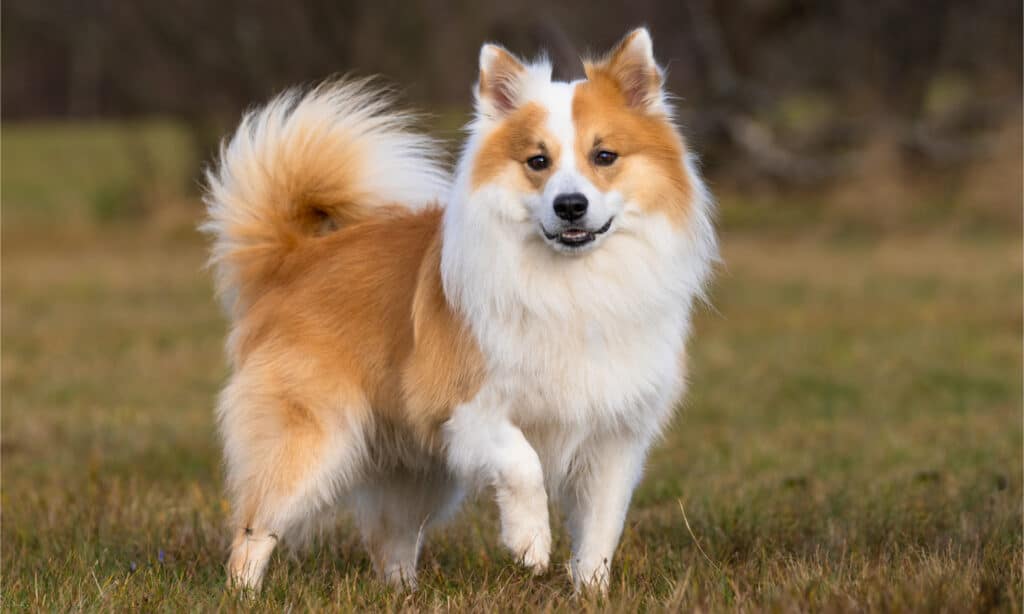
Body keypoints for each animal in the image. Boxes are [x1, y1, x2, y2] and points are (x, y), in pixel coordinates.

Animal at [199, 26, 712, 593]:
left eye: (604, 156)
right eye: (538, 162)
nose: (570, 205)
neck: (573, 283)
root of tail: (294, 257)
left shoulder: (613, 437)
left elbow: (601, 529)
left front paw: (591, 593)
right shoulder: (461, 406)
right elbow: (523, 463)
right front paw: (530, 543)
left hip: (411, 471)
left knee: (390, 540)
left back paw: (404, 594)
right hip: (312, 440)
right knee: (254, 529)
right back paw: (245, 594)